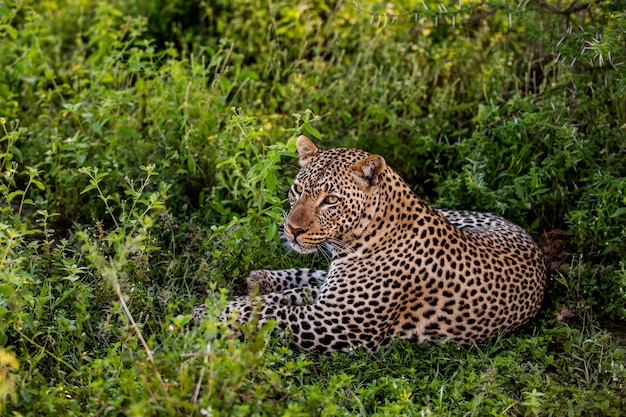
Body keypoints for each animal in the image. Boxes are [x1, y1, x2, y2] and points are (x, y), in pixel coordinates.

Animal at [201, 135, 544, 352]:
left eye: (330, 200)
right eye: (297, 189)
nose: (293, 229)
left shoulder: (333, 321)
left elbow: (268, 314)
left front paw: (207, 313)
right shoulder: (328, 305)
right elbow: (275, 302)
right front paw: (220, 304)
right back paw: (261, 278)